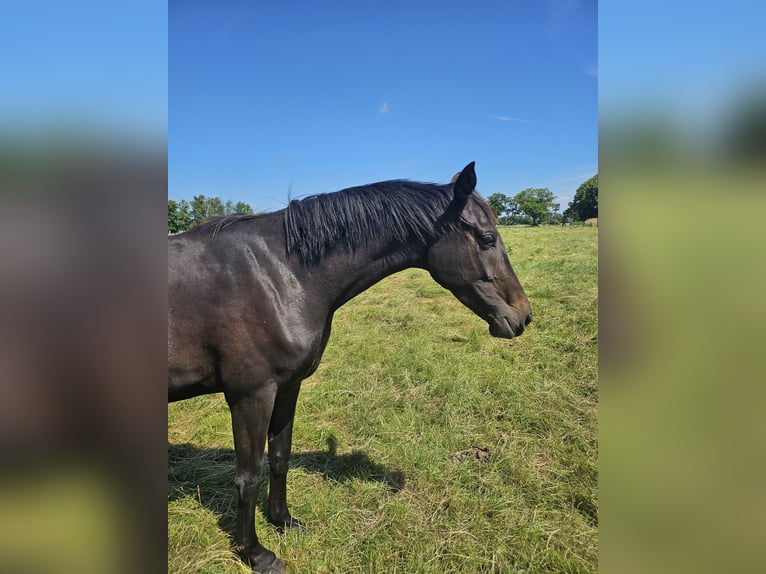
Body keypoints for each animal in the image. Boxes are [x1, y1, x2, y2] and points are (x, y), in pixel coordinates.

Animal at [168, 162, 532, 573]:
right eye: (487, 238)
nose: (522, 316)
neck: (280, 273)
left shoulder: (287, 386)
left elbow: (279, 456)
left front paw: (283, 521)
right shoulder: (250, 395)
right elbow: (249, 475)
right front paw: (255, 553)